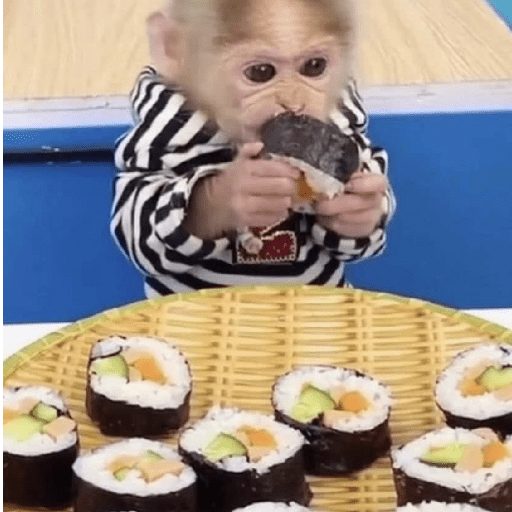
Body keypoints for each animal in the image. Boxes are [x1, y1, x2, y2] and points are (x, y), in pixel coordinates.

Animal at [112, 0, 395, 296]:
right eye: (260, 72)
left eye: (315, 66)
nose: (294, 104)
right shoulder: (155, 137)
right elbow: (138, 207)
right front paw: (236, 190)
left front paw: (361, 208)